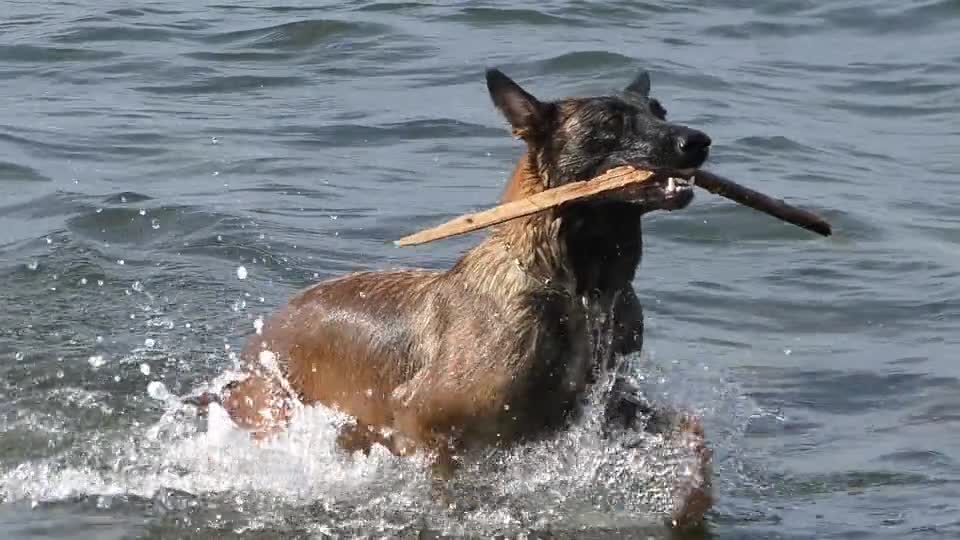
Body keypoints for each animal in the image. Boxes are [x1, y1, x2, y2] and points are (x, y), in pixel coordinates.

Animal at [191, 68, 712, 528]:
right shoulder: (421, 420)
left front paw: (692, 505)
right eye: (610, 123)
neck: (575, 287)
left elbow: (694, 435)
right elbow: (448, 488)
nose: (699, 141)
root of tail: (254, 347)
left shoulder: (611, 409)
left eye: (660, 111)